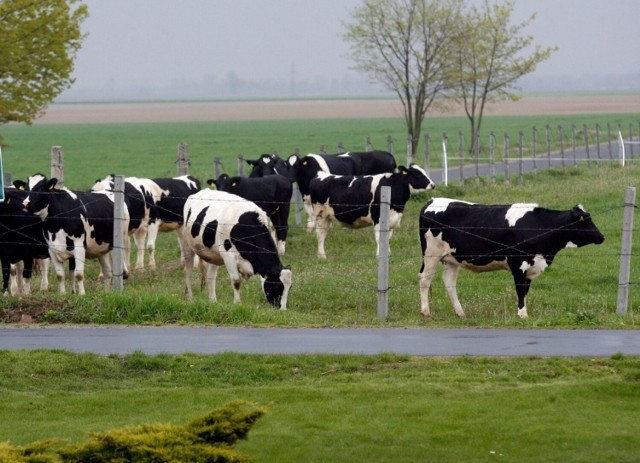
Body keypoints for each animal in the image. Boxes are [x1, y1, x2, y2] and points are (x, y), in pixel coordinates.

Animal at [308, 164, 436, 260]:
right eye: (418, 174)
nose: (433, 185)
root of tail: (320, 175)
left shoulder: (392, 220)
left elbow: (388, 239)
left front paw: (388, 255)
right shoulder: (378, 218)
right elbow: (380, 238)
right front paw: (380, 256)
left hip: (327, 217)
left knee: (322, 234)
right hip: (320, 214)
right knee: (320, 235)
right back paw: (322, 256)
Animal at [420, 198, 604, 320]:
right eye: (585, 221)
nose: (602, 237)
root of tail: (431, 201)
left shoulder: (531, 265)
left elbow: (526, 290)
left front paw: (523, 311)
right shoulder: (518, 264)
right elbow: (520, 290)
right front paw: (522, 314)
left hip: (452, 258)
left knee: (449, 282)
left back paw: (460, 313)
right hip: (431, 254)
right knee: (424, 280)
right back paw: (426, 312)